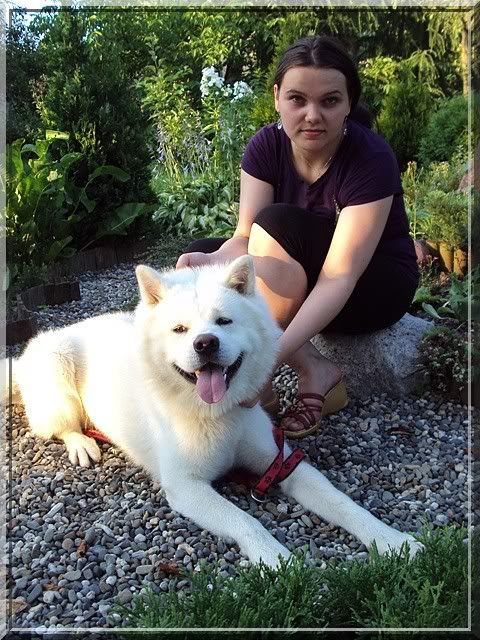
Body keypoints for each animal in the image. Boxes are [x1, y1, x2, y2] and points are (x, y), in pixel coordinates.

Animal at [11, 255, 422, 568]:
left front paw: (391, 540)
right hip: (57, 369)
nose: (205, 343)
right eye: (179, 329)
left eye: (224, 321)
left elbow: (343, 503)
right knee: (62, 426)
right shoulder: (186, 487)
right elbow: (245, 521)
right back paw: (81, 443)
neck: (219, 415)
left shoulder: (283, 463)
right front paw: (278, 559)